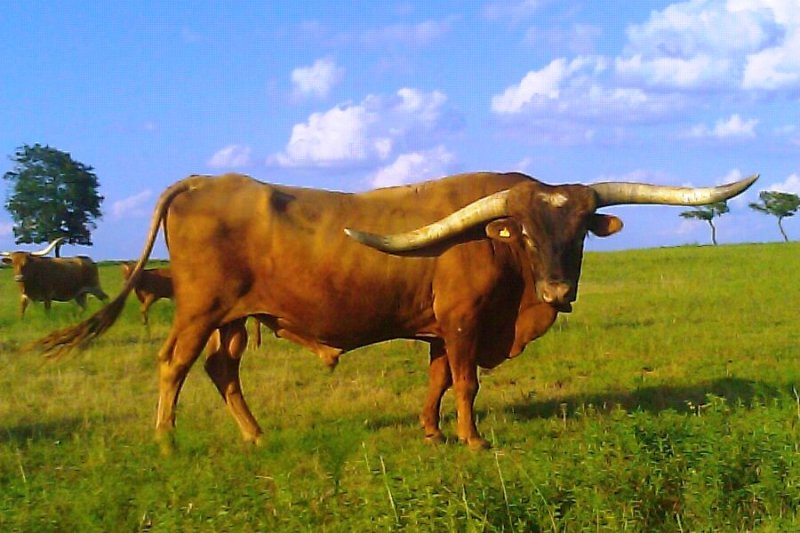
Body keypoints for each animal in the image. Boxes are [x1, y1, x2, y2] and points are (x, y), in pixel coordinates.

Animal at [35, 171, 757, 449]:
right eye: (523, 233)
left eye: (579, 230)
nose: (558, 293)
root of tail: (204, 180)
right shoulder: (464, 322)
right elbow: (464, 383)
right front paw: (471, 440)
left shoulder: (440, 328)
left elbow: (435, 381)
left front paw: (432, 433)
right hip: (199, 310)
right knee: (173, 364)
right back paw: (165, 439)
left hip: (234, 320)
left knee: (221, 370)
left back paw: (256, 435)